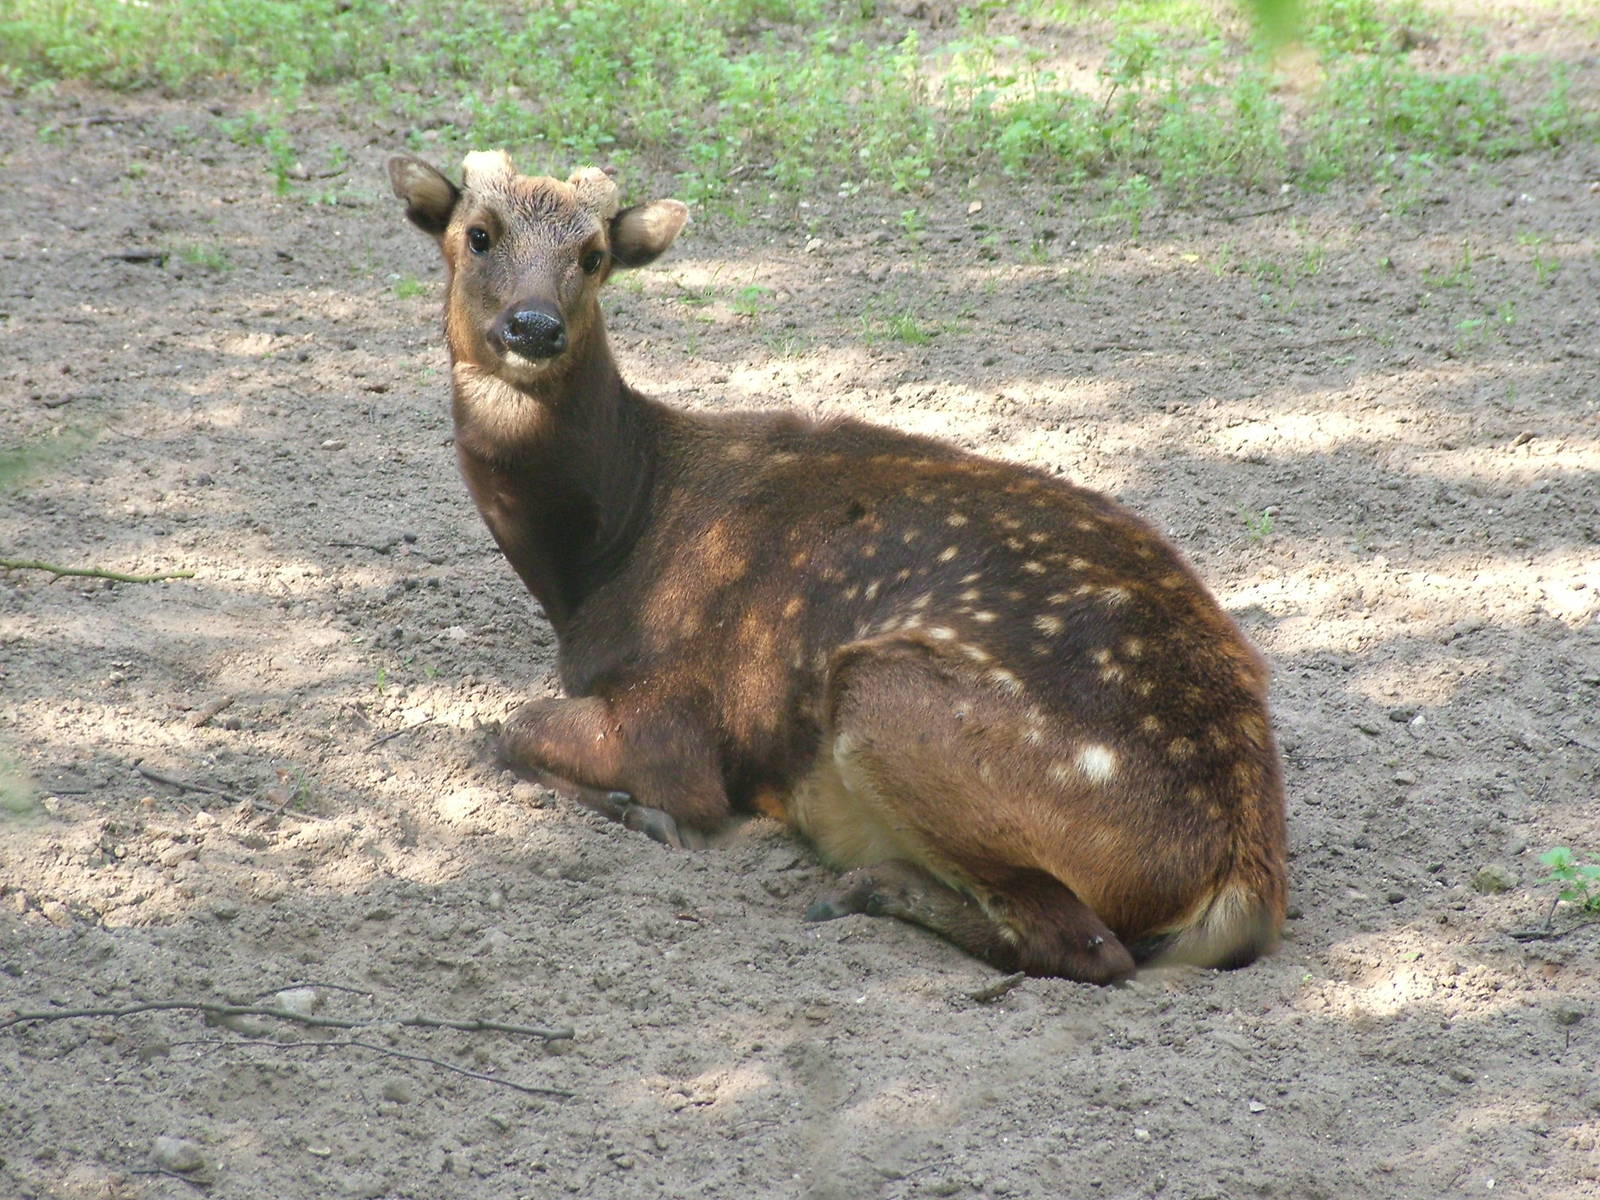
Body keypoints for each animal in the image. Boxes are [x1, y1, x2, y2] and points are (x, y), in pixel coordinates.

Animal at [388, 151, 1287, 984]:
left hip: (884, 694)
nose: (533, 326)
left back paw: (866, 886)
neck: (603, 557)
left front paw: (641, 812)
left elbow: (511, 730)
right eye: (478, 234)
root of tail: (1246, 877)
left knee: (1088, 946)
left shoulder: (676, 717)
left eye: (594, 254)